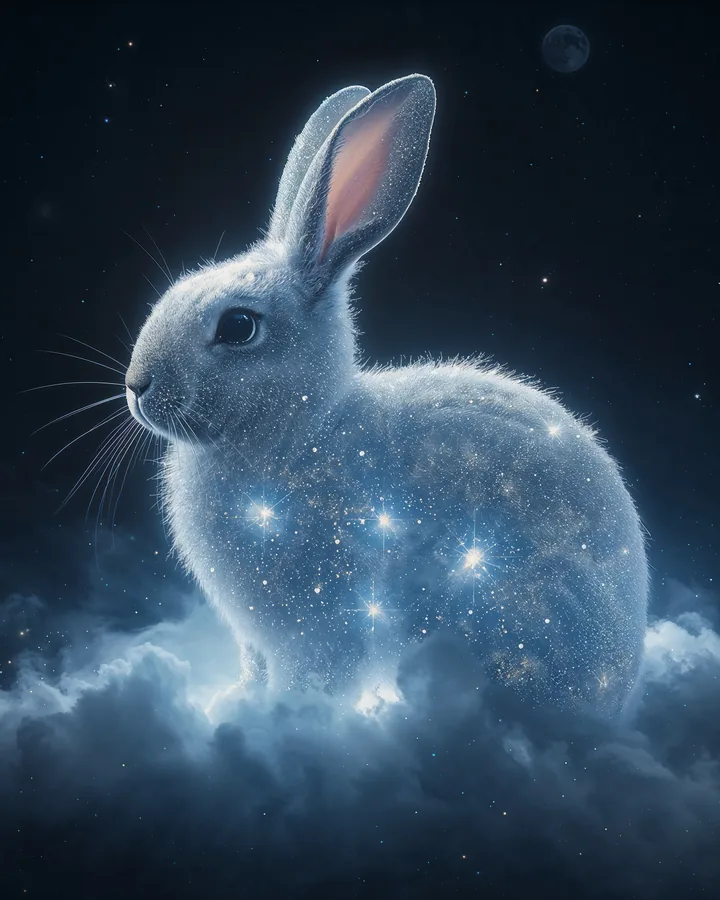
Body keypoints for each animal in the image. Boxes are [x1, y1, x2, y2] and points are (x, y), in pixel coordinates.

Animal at [125, 74, 648, 712]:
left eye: (238, 327)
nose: (136, 385)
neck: (298, 428)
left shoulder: (321, 620)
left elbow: (314, 674)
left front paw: (284, 714)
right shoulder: (257, 641)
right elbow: (253, 668)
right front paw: (233, 704)